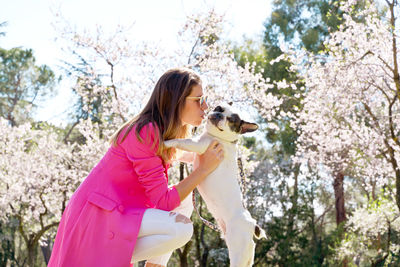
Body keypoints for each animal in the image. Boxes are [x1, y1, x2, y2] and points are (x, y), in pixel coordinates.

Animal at [165, 103, 266, 266]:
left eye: (231, 120)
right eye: (219, 108)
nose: (219, 115)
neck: (217, 137)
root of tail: (252, 225)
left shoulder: (199, 145)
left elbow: (183, 142)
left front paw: (166, 142)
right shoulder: (194, 153)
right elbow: (184, 153)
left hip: (238, 251)